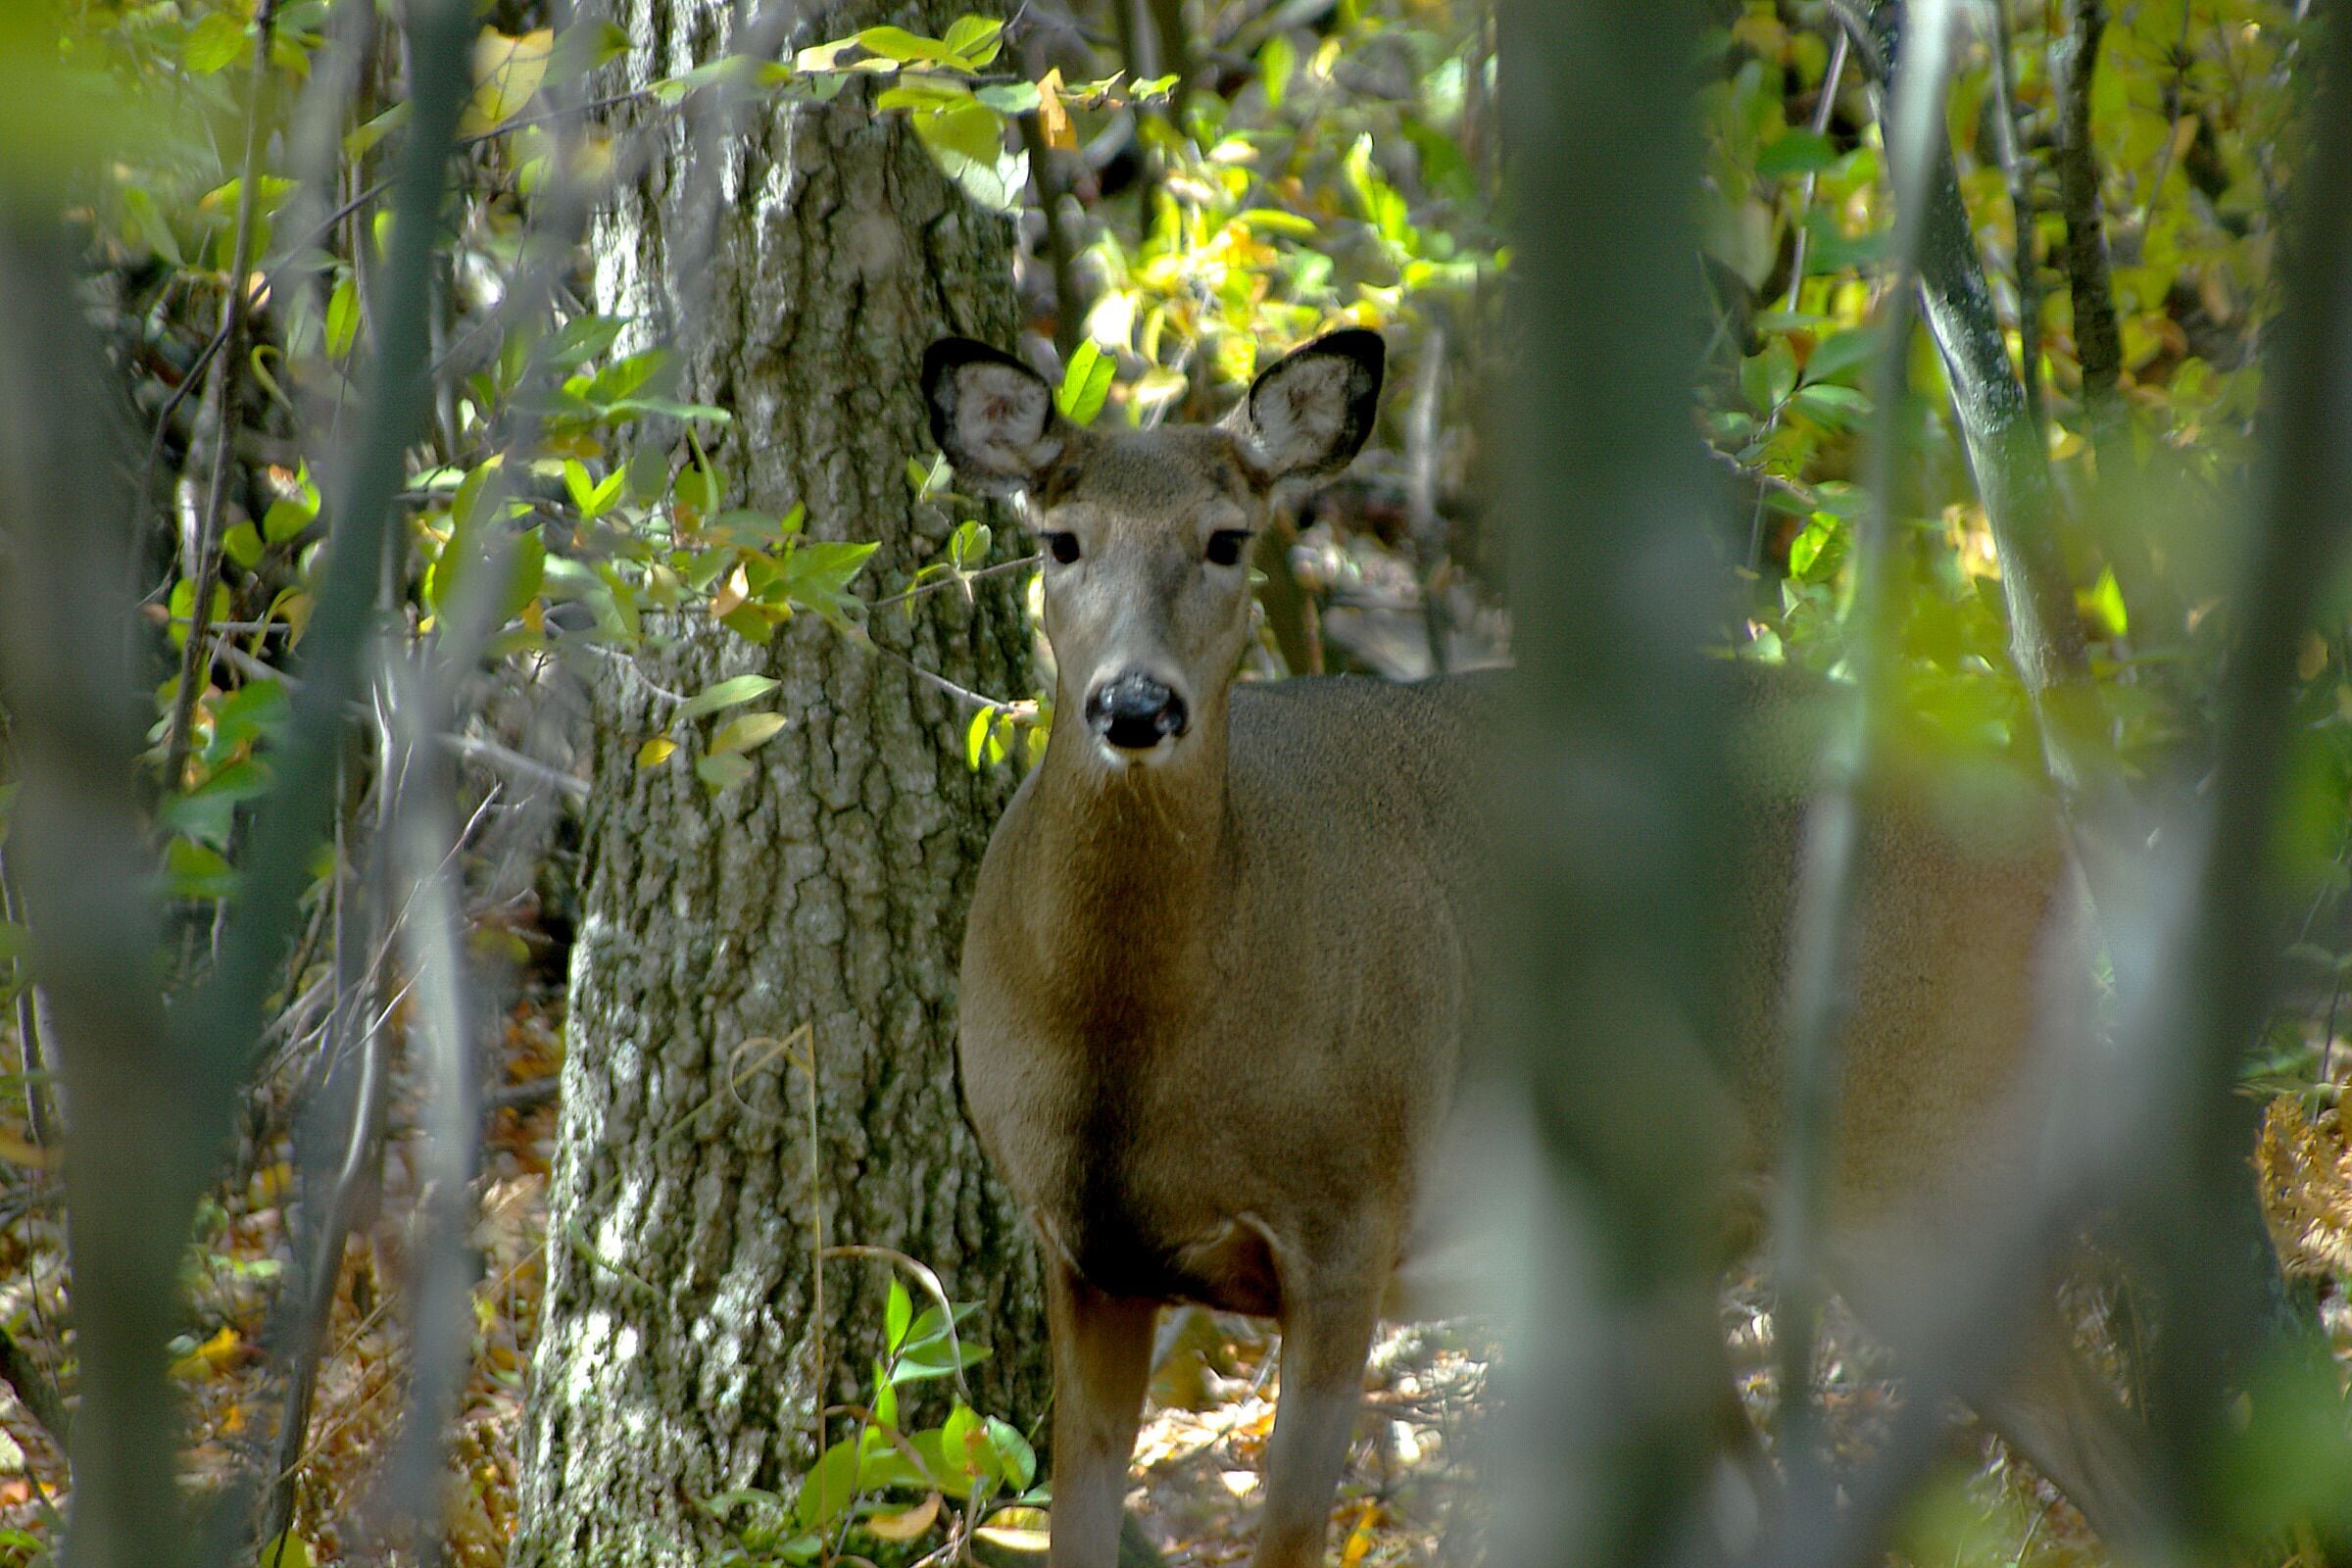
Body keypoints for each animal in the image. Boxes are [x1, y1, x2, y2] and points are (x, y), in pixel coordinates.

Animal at [921, 329, 2151, 1568]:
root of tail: (2039, 827)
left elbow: (1293, 1534)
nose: (1135, 706)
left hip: (1916, 1156)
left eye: (1226, 539)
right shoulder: (1083, 1252)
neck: (1137, 1039)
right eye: (1060, 541)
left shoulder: (1351, 1215)